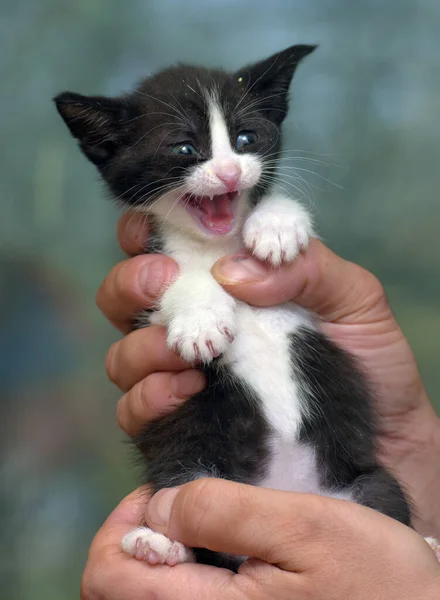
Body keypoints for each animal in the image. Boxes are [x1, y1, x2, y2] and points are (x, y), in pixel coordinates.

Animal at [54, 44, 412, 568]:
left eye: (246, 138)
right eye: (185, 148)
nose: (229, 172)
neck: (214, 247)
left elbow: (275, 207)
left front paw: (277, 226)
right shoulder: (147, 284)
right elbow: (175, 282)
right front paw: (201, 322)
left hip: (367, 477)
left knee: (384, 494)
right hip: (193, 457)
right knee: (184, 487)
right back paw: (159, 542)